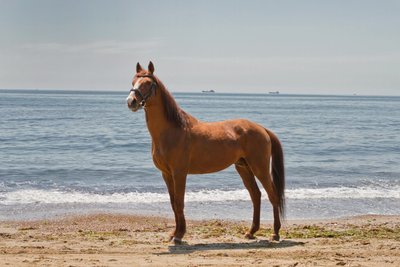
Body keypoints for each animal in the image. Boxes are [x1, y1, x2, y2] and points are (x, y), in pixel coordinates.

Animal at [126, 61, 286, 244]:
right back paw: (251, 232)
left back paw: (275, 233)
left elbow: (179, 202)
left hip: (259, 168)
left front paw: (179, 235)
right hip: (243, 167)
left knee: (272, 195)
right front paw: (174, 233)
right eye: (133, 82)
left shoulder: (179, 173)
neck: (172, 130)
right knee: (256, 195)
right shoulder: (166, 174)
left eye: (147, 83)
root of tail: (261, 129)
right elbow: (173, 203)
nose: (131, 101)